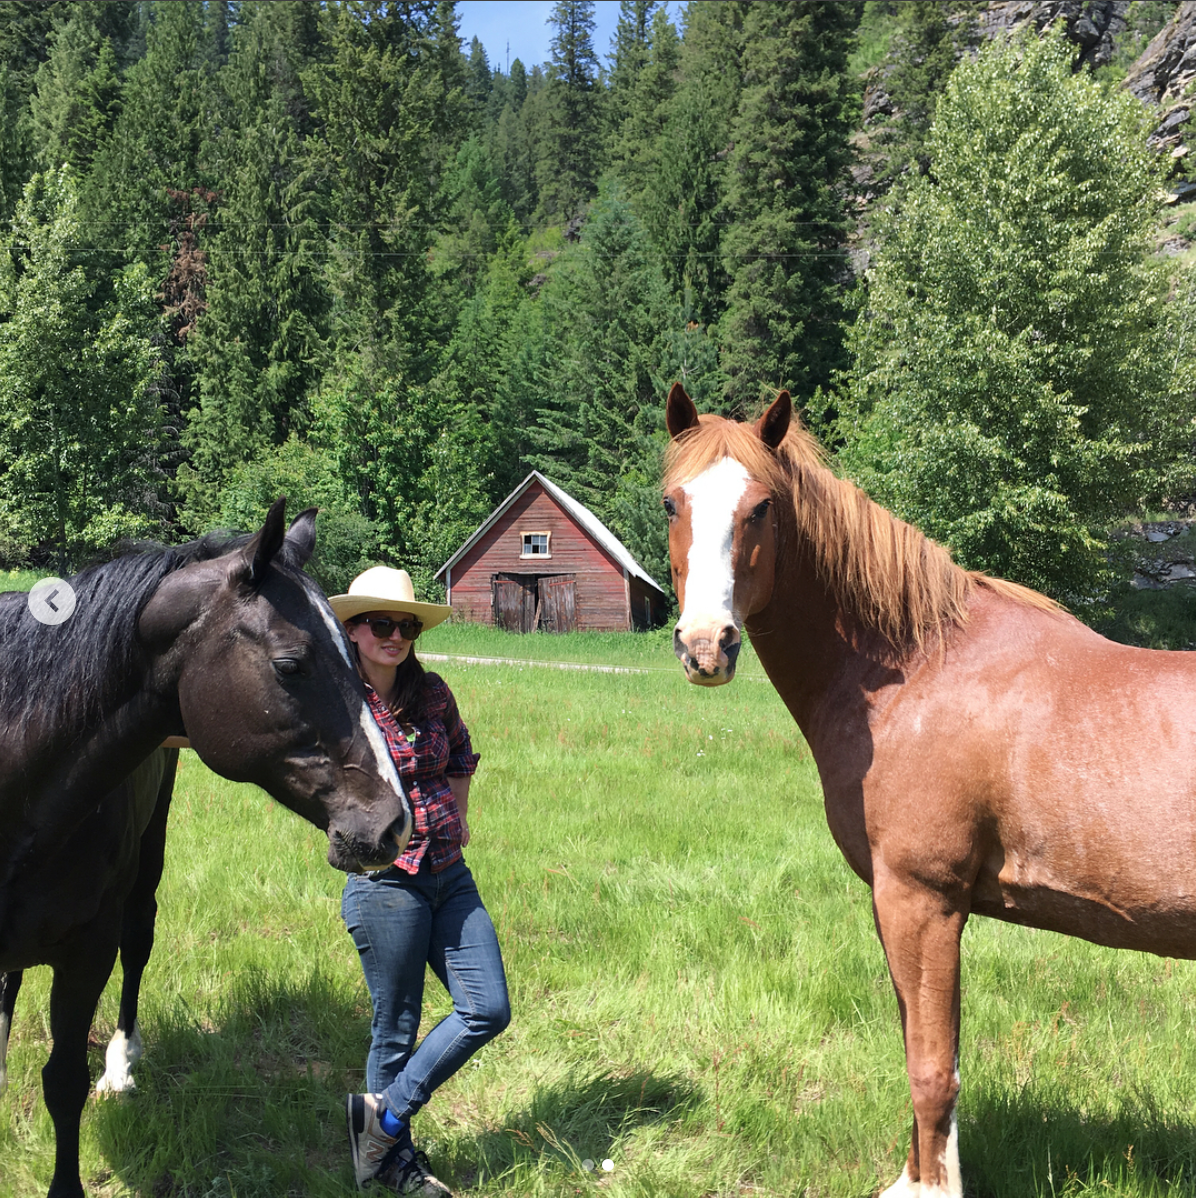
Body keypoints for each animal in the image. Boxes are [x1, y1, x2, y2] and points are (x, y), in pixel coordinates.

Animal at [0, 498, 412, 1198]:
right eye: (290, 665)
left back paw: (122, 1065)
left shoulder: (86, 952)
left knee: (138, 944)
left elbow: (64, 1083)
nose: (393, 824)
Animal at [662, 382, 1196, 1198]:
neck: (917, 672)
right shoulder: (904, 905)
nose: (705, 646)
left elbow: (931, 1071)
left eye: (762, 508)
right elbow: (920, 1044)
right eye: (671, 503)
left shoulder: (922, 900)